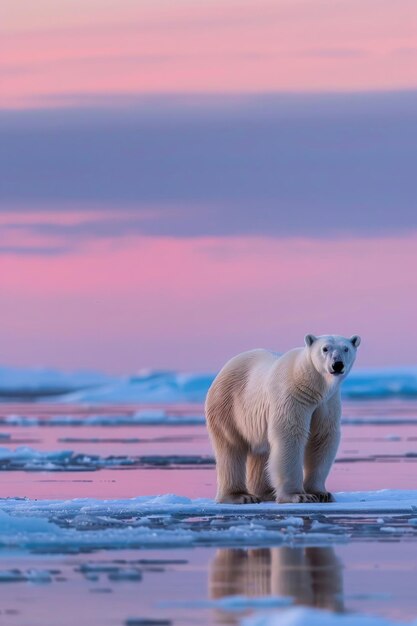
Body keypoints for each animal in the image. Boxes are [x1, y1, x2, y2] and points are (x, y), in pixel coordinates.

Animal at [204, 332, 358, 502]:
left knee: (261, 452)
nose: (337, 364)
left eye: (346, 348)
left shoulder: (327, 403)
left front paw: (322, 493)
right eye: (325, 348)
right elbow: (290, 434)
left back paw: (266, 492)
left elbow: (322, 437)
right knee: (231, 447)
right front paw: (299, 495)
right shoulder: (293, 395)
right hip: (228, 406)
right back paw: (240, 496)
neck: (313, 386)